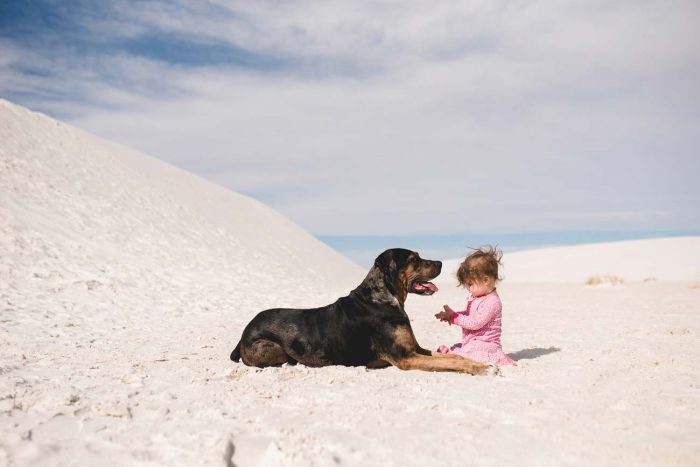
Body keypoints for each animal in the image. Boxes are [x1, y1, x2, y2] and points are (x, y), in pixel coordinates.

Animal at [232, 249, 490, 376]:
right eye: (414, 259)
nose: (441, 263)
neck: (383, 297)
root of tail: (243, 333)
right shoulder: (405, 357)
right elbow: (447, 361)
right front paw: (480, 368)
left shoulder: (415, 349)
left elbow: (452, 356)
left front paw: (479, 363)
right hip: (273, 347)